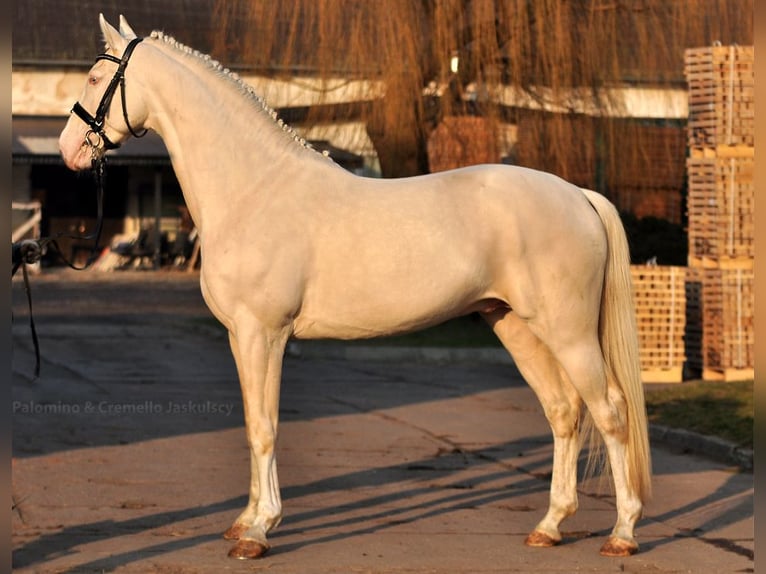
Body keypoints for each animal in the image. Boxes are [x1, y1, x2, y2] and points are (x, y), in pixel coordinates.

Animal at [60, 13, 656, 564]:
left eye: (94, 77)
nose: (68, 150)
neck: (255, 188)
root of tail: (578, 195)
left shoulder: (263, 334)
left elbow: (265, 427)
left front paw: (259, 532)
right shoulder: (239, 336)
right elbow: (253, 423)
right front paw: (245, 521)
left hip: (568, 332)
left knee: (610, 411)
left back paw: (622, 533)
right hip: (514, 326)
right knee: (563, 412)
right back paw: (550, 526)